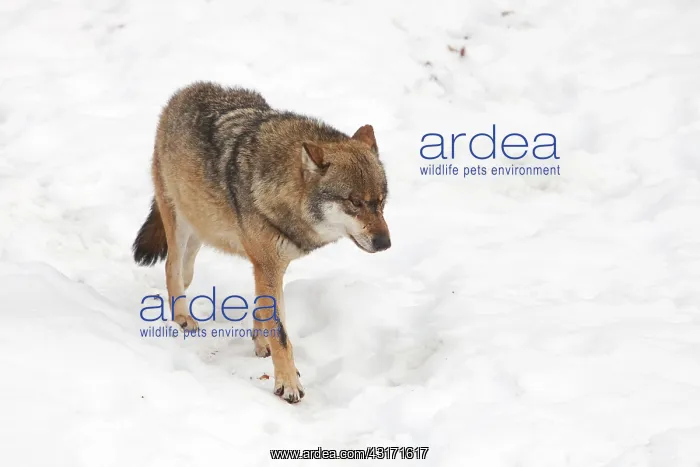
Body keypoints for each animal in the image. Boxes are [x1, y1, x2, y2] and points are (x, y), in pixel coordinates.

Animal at [132, 82, 391, 403]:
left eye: (381, 201)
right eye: (354, 202)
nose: (385, 242)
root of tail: (186, 91)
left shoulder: (271, 266)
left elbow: (269, 313)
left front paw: (264, 347)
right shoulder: (267, 264)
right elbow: (281, 334)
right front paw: (288, 384)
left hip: (201, 226)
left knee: (186, 270)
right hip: (178, 222)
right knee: (172, 266)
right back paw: (182, 317)